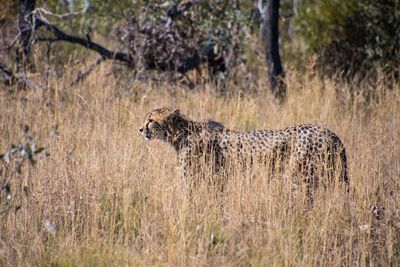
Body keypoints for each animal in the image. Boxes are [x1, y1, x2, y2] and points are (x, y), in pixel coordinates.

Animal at [139, 108, 348, 188]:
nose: (140, 129)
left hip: (302, 177)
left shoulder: (193, 180)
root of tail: (329, 132)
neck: (180, 133)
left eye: (151, 120)